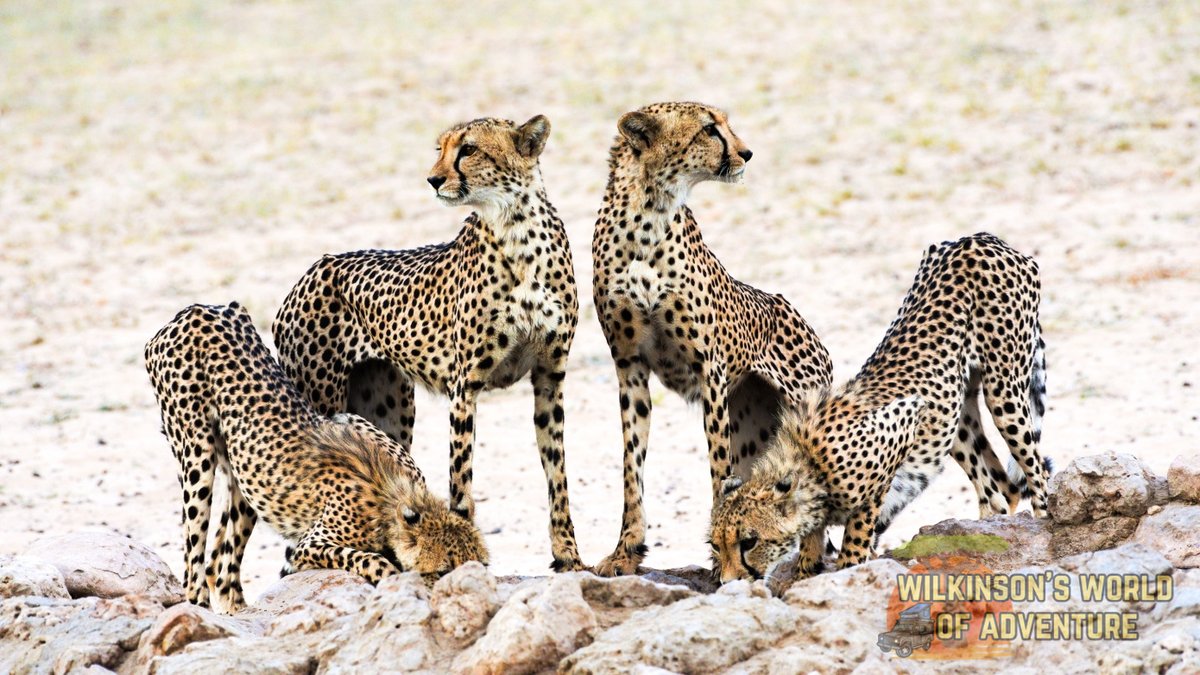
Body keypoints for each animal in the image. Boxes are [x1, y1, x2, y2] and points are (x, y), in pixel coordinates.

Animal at [145, 302, 487, 613]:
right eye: (442, 570)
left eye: (479, 565)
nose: (467, 587)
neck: (395, 492)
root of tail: (193, 310)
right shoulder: (309, 546)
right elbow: (367, 558)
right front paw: (393, 578)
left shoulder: (351, 420)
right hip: (197, 454)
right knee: (193, 564)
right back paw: (201, 608)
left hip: (244, 478)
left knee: (225, 564)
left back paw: (238, 611)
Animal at [272, 115, 585, 571]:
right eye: (441, 149)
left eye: (468, 149)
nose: (433, 179)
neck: (517, 231)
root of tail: (312, 269)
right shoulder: (464, 386)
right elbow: (461, 484)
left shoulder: (550, 375)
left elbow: (557, 475)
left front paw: (570, 557)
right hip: (321, 402)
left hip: (390, 414)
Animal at [590, 102, 834, 576]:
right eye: (708, 129)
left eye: (725, 124)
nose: (747, 152)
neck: (649, 217)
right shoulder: (629, 367)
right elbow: (632, 468)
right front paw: (626, 552)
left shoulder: (710, 371)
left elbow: (718, 466)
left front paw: (721, 557)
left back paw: (810, 562)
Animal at [710, 232, 1051, 587]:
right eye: (716, 545)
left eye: (749, 541)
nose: (727, 582)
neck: (808, 464)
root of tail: (979, 238)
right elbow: (811, 559)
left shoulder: (900, 427)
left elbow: (855, 543)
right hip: (955, 416)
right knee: (998, 489)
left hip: (1004, 389)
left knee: (1037, 473)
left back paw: (1042, 528)